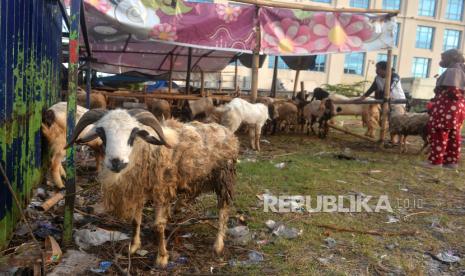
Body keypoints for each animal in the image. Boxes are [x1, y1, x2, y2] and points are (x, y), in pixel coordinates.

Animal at [65, 108, 239, 268]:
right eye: (101, 132)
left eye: (134, 133)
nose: (117, 162)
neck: (145, 150)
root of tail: (224, 130)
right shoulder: (138, 189)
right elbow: (135, 220)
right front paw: (134, 246)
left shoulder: (162, 190)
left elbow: (158, 226)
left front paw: (162, 258)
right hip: (197, 177)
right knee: (192, 195)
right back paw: (177, 209)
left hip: (224, 177)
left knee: (223, 210)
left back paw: (218, 244)